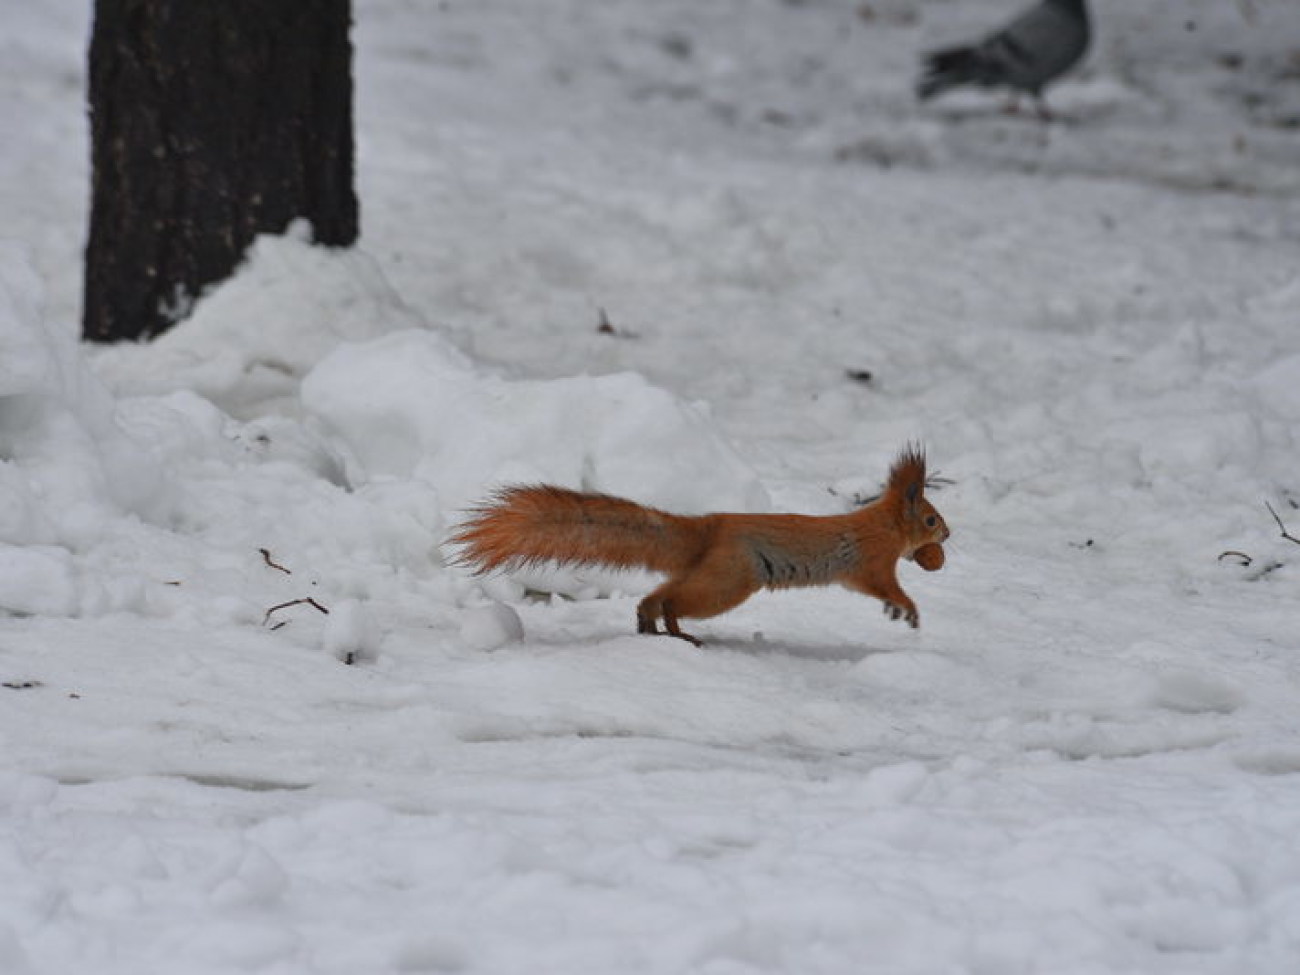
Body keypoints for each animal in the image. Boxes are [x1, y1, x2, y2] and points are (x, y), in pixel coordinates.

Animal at [452, 444, 951, 644]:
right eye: (930, 518)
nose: (947, 536)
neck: (884, 524)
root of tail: (708, 529)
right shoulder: (872, 560)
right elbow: (885, 585)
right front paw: (906, 609)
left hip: (711, 574)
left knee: (655, 597)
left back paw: (648, 625)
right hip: (728, 581)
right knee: (674, 600)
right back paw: (678, 632)